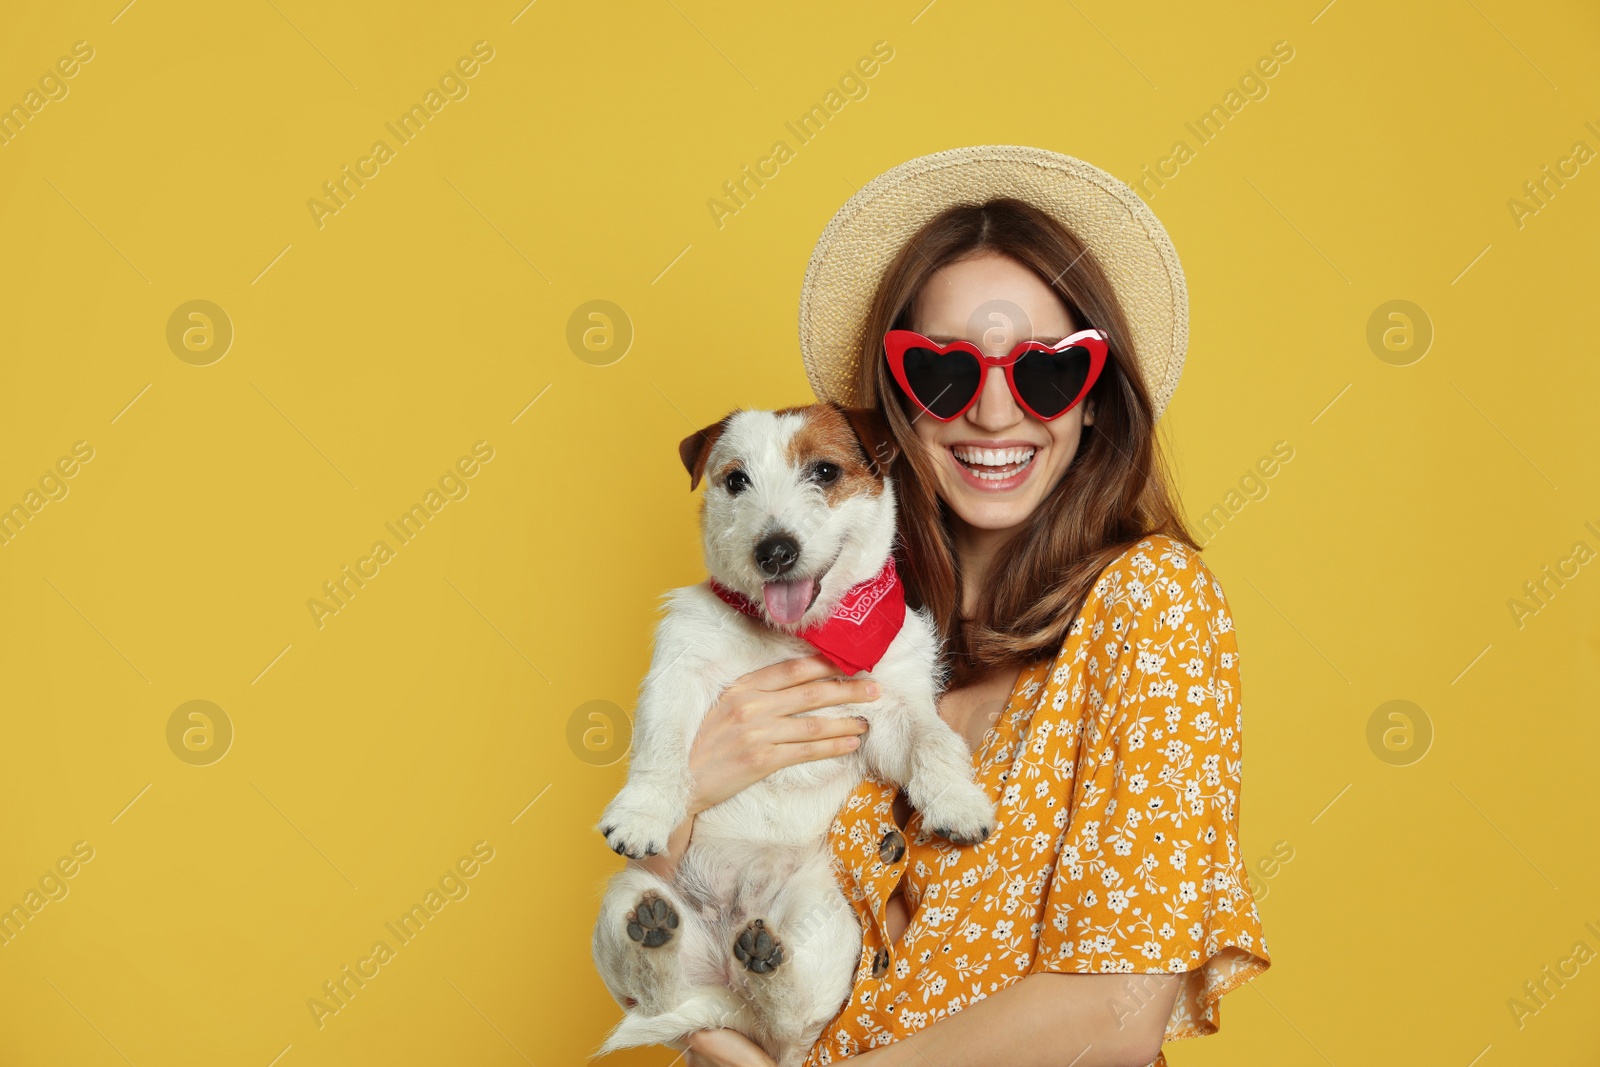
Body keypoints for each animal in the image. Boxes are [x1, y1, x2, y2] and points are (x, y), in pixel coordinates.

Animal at [588, 403, 985, 1067]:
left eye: (824, 471)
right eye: (735, 480)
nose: (774, 551)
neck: (794, 636)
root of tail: (729, 989)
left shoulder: (886, 707)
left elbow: (932, 739)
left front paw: (958, 801)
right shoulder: (680, 673)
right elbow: (663, 745)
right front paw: (643, 812)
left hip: (824, 921)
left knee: (790, 1021)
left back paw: (765, 966)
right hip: (624, 896)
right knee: (660, 995)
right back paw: (655, 935)